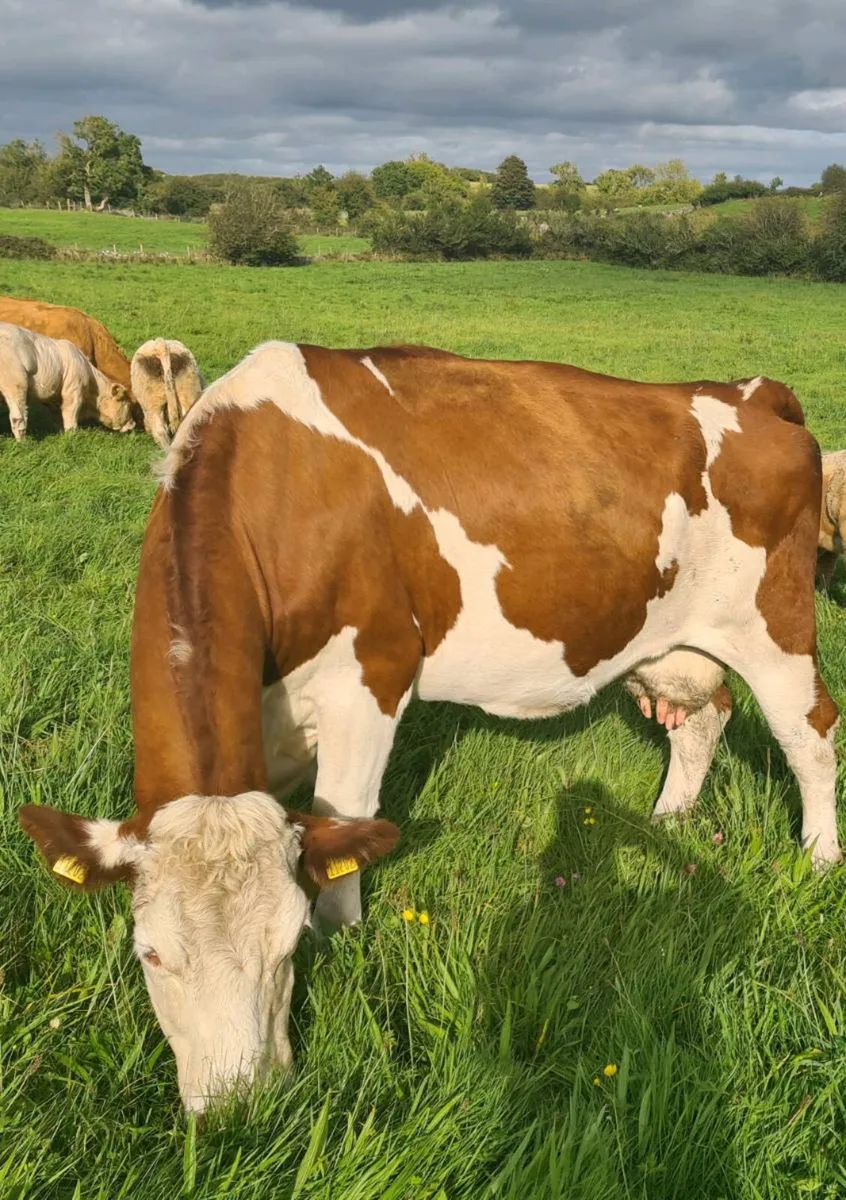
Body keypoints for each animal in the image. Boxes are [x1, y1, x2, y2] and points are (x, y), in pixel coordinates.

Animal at [0, 323, 134, 439]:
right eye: (126, 404)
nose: (133, 424)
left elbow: (58, 416)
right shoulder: (73, 389)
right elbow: (71, 416)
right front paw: (72, 436)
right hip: (16, 384)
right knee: (18, 416)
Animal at [19, 344, 840, 1115]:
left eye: (288, 945)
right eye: (150, 956)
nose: (238, 1106)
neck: (273, 481)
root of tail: (750, 392)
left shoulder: (372, 676)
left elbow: (345, 814)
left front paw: (347, 934)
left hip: (776, 626)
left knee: (811, 736)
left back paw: (819, 857)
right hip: (666, 641)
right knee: (704, 718)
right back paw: (667, 821)